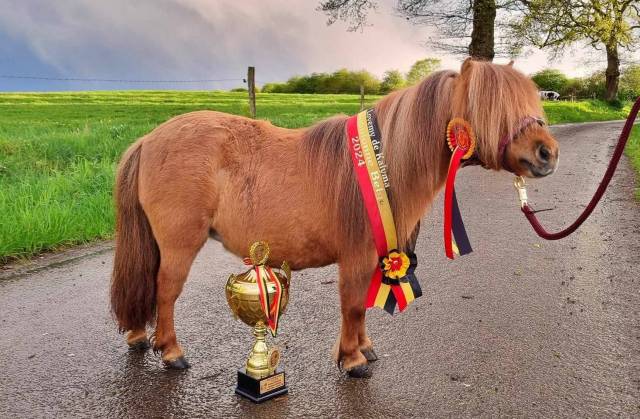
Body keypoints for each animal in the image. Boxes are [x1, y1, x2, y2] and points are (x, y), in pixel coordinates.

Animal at [110, 59, 559, 376]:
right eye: (492, 108)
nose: (547, 153)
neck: (385, 165)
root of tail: (149, 140)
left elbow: (360, 308)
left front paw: (363, 349)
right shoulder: (356, 257)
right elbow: (353, 306)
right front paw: (352, 360)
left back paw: (139, 336)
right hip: (179, 244)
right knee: (164, 291)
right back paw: (171, 353)